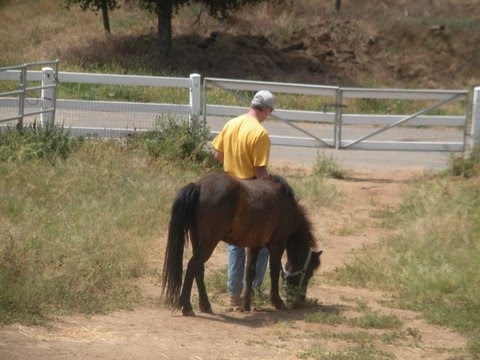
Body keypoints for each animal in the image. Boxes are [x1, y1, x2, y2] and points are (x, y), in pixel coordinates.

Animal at [161, 173, 322, 316]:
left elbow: (249, 273)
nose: (301, 299)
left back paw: (205, 305)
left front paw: (246, 305)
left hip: (197, 240)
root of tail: (199, 185)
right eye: (309, 273)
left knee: (198, 269)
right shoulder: (278, 244)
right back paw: (187, 307)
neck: (287, 206)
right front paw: (277, 301)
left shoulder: (254, 246)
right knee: (192, 266)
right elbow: (274, 271)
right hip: (208, 243)